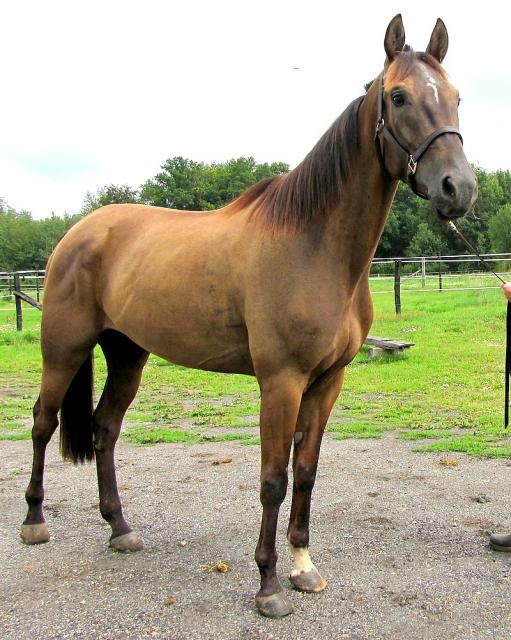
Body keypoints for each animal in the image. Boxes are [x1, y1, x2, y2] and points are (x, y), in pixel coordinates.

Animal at [20, 15, 476, 620]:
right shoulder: (280, 382)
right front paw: (269, 586)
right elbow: (272, 480)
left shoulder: (327, 382)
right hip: (64, 348)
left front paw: (304, 568)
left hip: (127, 354)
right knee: (42, 423)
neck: (315, 244)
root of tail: (81, 230)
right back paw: (33, 521)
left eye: (456, 97)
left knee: (104, 429)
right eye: (398, 96)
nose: (459, 189)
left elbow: (306, 473)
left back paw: (120, 528)